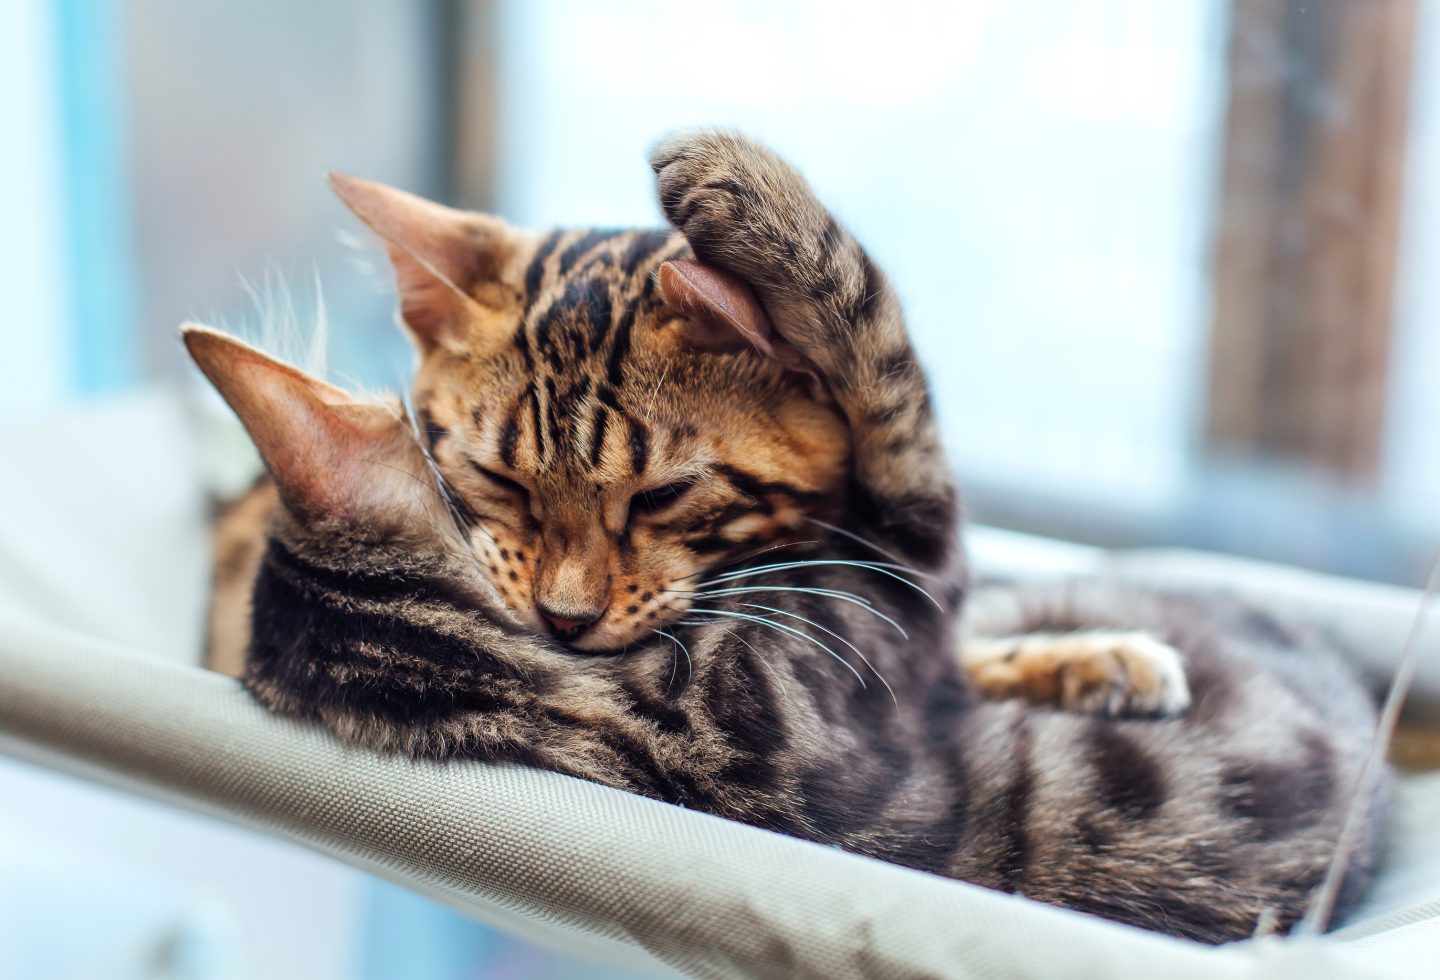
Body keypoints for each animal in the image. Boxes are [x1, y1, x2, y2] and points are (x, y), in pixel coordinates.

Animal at [194, 130, 1393, 938]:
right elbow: (889, 370)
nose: (565, 618)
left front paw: (1088, 660)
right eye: (498, 480)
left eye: (663, 496)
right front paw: (757, 194)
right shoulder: (877, 595)